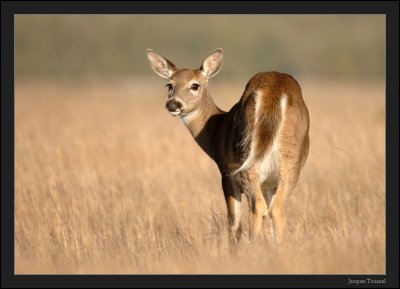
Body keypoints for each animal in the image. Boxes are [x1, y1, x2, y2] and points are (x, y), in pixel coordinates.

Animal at [146, 47, 310, 243]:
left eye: (195, 85)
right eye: (169, 85)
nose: (173, 104)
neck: (218, 128)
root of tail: (275, 91)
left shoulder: (226, 173)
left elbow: (234, 223)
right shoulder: (268, 184)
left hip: (246, 158)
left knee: (257, 208)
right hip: (290, 162)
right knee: (277, 209)